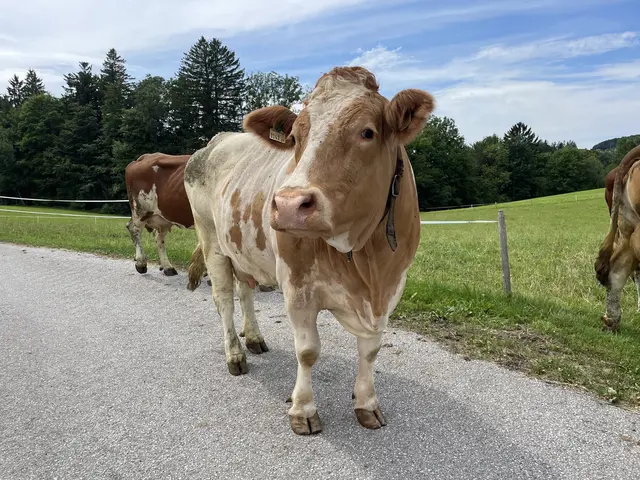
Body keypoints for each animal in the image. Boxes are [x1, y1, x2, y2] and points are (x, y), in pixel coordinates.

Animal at [183, 66, 435, 435]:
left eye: (367, 132)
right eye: (295, 137)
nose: (289, 205)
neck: (364, 258)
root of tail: (216, 141)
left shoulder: (391, 288)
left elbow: (370, 350)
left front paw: (367, 404)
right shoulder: (297, 287)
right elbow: (307, 351)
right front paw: (303, 410)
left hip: (243, 249)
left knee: (245, 292)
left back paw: (254, 338)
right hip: (212, 241)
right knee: (224, 299)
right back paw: (235, 354)